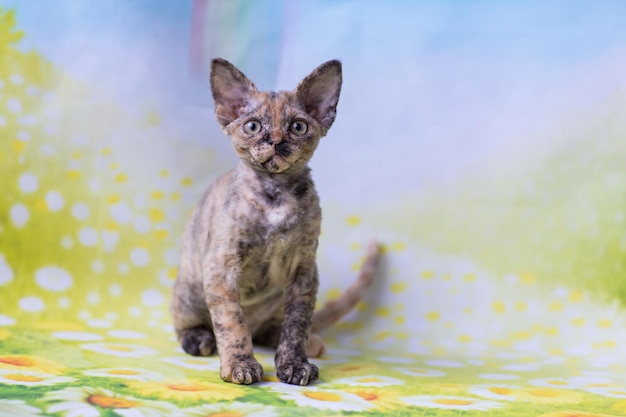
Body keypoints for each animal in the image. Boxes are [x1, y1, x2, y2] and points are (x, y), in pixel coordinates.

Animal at [168, 57, 378, 386]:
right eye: (253, 126)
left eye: (298, 126)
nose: (277, 141)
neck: (275, 195)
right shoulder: (222, 266)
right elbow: (232, 323)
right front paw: (240, 365)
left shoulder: (304, 271)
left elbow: (297, 325)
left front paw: (294, 363)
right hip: (191, 289)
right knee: (190, 324)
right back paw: (198, 339)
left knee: (276, 329)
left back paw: (306, 341)